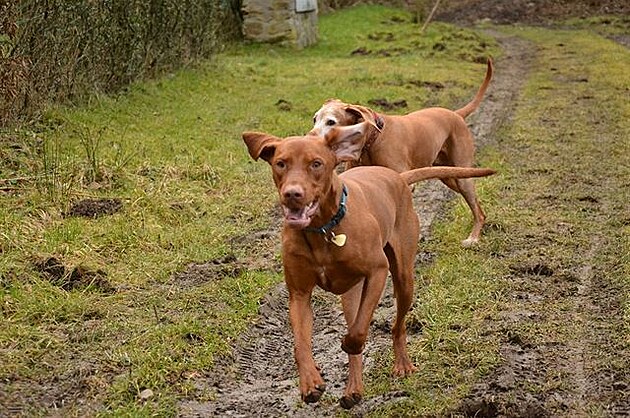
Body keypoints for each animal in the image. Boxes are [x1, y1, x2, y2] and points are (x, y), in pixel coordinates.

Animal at [244, 122, 496, 410]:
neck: (323, 230)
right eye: (281, 163)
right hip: (350, 294)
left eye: (316, 164)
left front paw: (347, 344)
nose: (292, 194)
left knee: (398, 326)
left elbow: (358, 332)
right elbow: (301, 345)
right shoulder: (299, 294)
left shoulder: (378, 271)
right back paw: (353, 389)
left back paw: (402, 365)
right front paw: (310, 382)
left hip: (404, 277)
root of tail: (397, 177)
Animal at [314, 57, 496, 247]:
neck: (372, 141)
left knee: (478, 211)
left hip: (463, 178)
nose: (309, 138)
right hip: (450, 175)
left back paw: (473, 237)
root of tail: (455, 114)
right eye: (314, 119)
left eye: (331, 122)